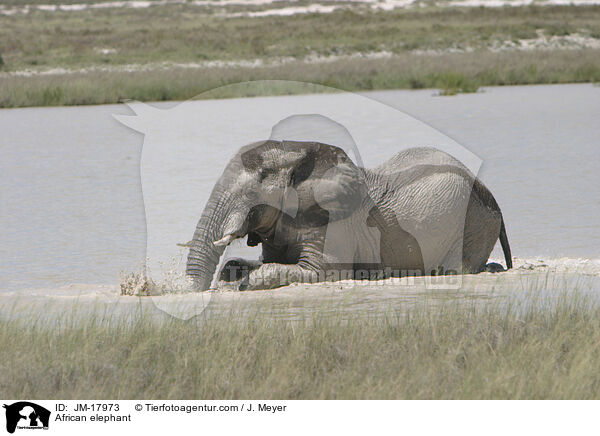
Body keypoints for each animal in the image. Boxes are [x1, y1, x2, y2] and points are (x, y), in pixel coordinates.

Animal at [186, 141, 510, 292]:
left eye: (262, 179)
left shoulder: (332, 220)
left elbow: (322, 272)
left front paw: (247, 283)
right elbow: (250, 263)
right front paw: (234, 274)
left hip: (472, 224)